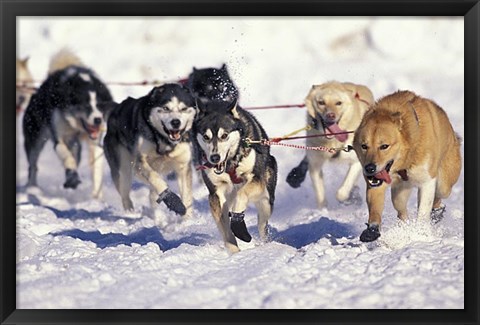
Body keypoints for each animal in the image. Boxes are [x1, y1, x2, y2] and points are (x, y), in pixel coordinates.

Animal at [23, 50, 115, 197]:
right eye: (85, 105)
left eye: (100, 105)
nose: (98, 120)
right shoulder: (59, 139)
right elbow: (67, 157)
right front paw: (72, 176)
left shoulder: (95, 144)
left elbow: (96, 171)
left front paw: (96, 197)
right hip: (34, 138)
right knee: (33, 164)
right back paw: (33, 188)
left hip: (75, 144)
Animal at [103, 83, 197, 215]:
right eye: (166, 108)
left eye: (183, 109)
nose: (176, 122)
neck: (164, 141)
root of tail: (115, 110)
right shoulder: (140, 162)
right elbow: (154, 177)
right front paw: (173, 201)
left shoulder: (183, 166)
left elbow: (187, 197)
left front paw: (188, 219)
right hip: (123, 170)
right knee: (125, 194)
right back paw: (131, 212)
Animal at [192, 98, 278, 253]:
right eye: (206, 137)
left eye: (224, 135)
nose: (214, 157)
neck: (230, 164)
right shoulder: (215, 194)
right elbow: (225, 229)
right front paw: (234, 252)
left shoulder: (256, 179)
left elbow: (241, 195)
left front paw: (238, 226)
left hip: (266, 200)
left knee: (262, 223)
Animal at [352, 90, 462, 242]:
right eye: (364, 146)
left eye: (384, 146)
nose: (369, 168)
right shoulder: (377, 183)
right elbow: (375, 207)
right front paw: (372, 229)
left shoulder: (427, 181)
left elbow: (423, 211)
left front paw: (420, 232)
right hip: (399, 194)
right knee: (401, 210)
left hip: (444, 184)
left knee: (439, 196)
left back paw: (436, 212)